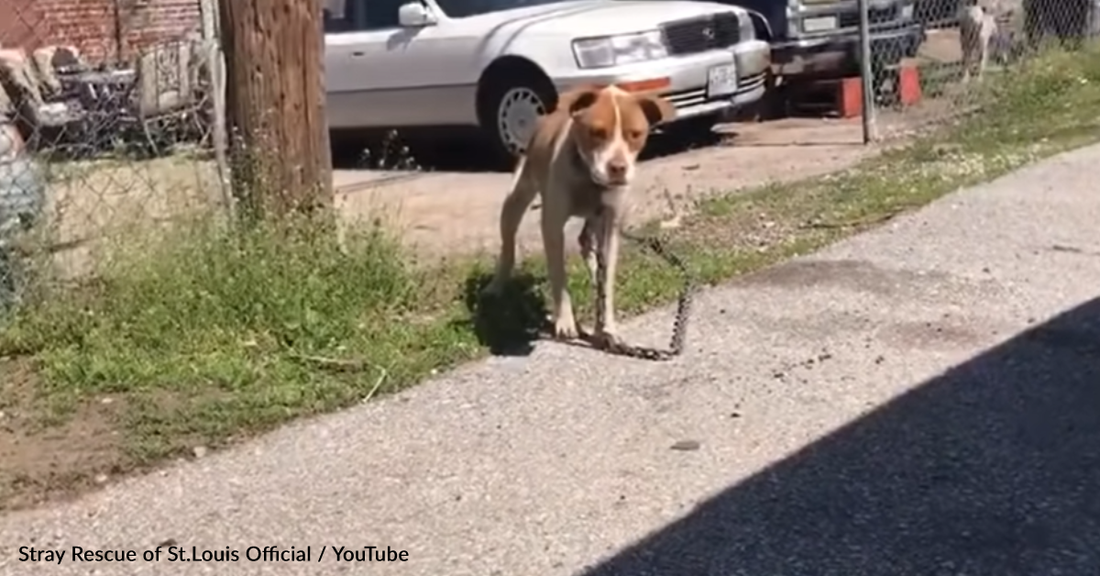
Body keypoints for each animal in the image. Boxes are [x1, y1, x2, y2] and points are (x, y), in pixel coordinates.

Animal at [484, 85, 673, 347]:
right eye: (597, 132)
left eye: (635, 134)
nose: (618, 167)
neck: (588, 177)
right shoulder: (552, 225)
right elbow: (558, 276)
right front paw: (565, 321)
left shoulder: (611, 225)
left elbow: (607, 280)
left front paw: (607, 326)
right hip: (516, 198)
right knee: (509, 244)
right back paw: (496, 286)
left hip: (594, 219)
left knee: (586, 243)